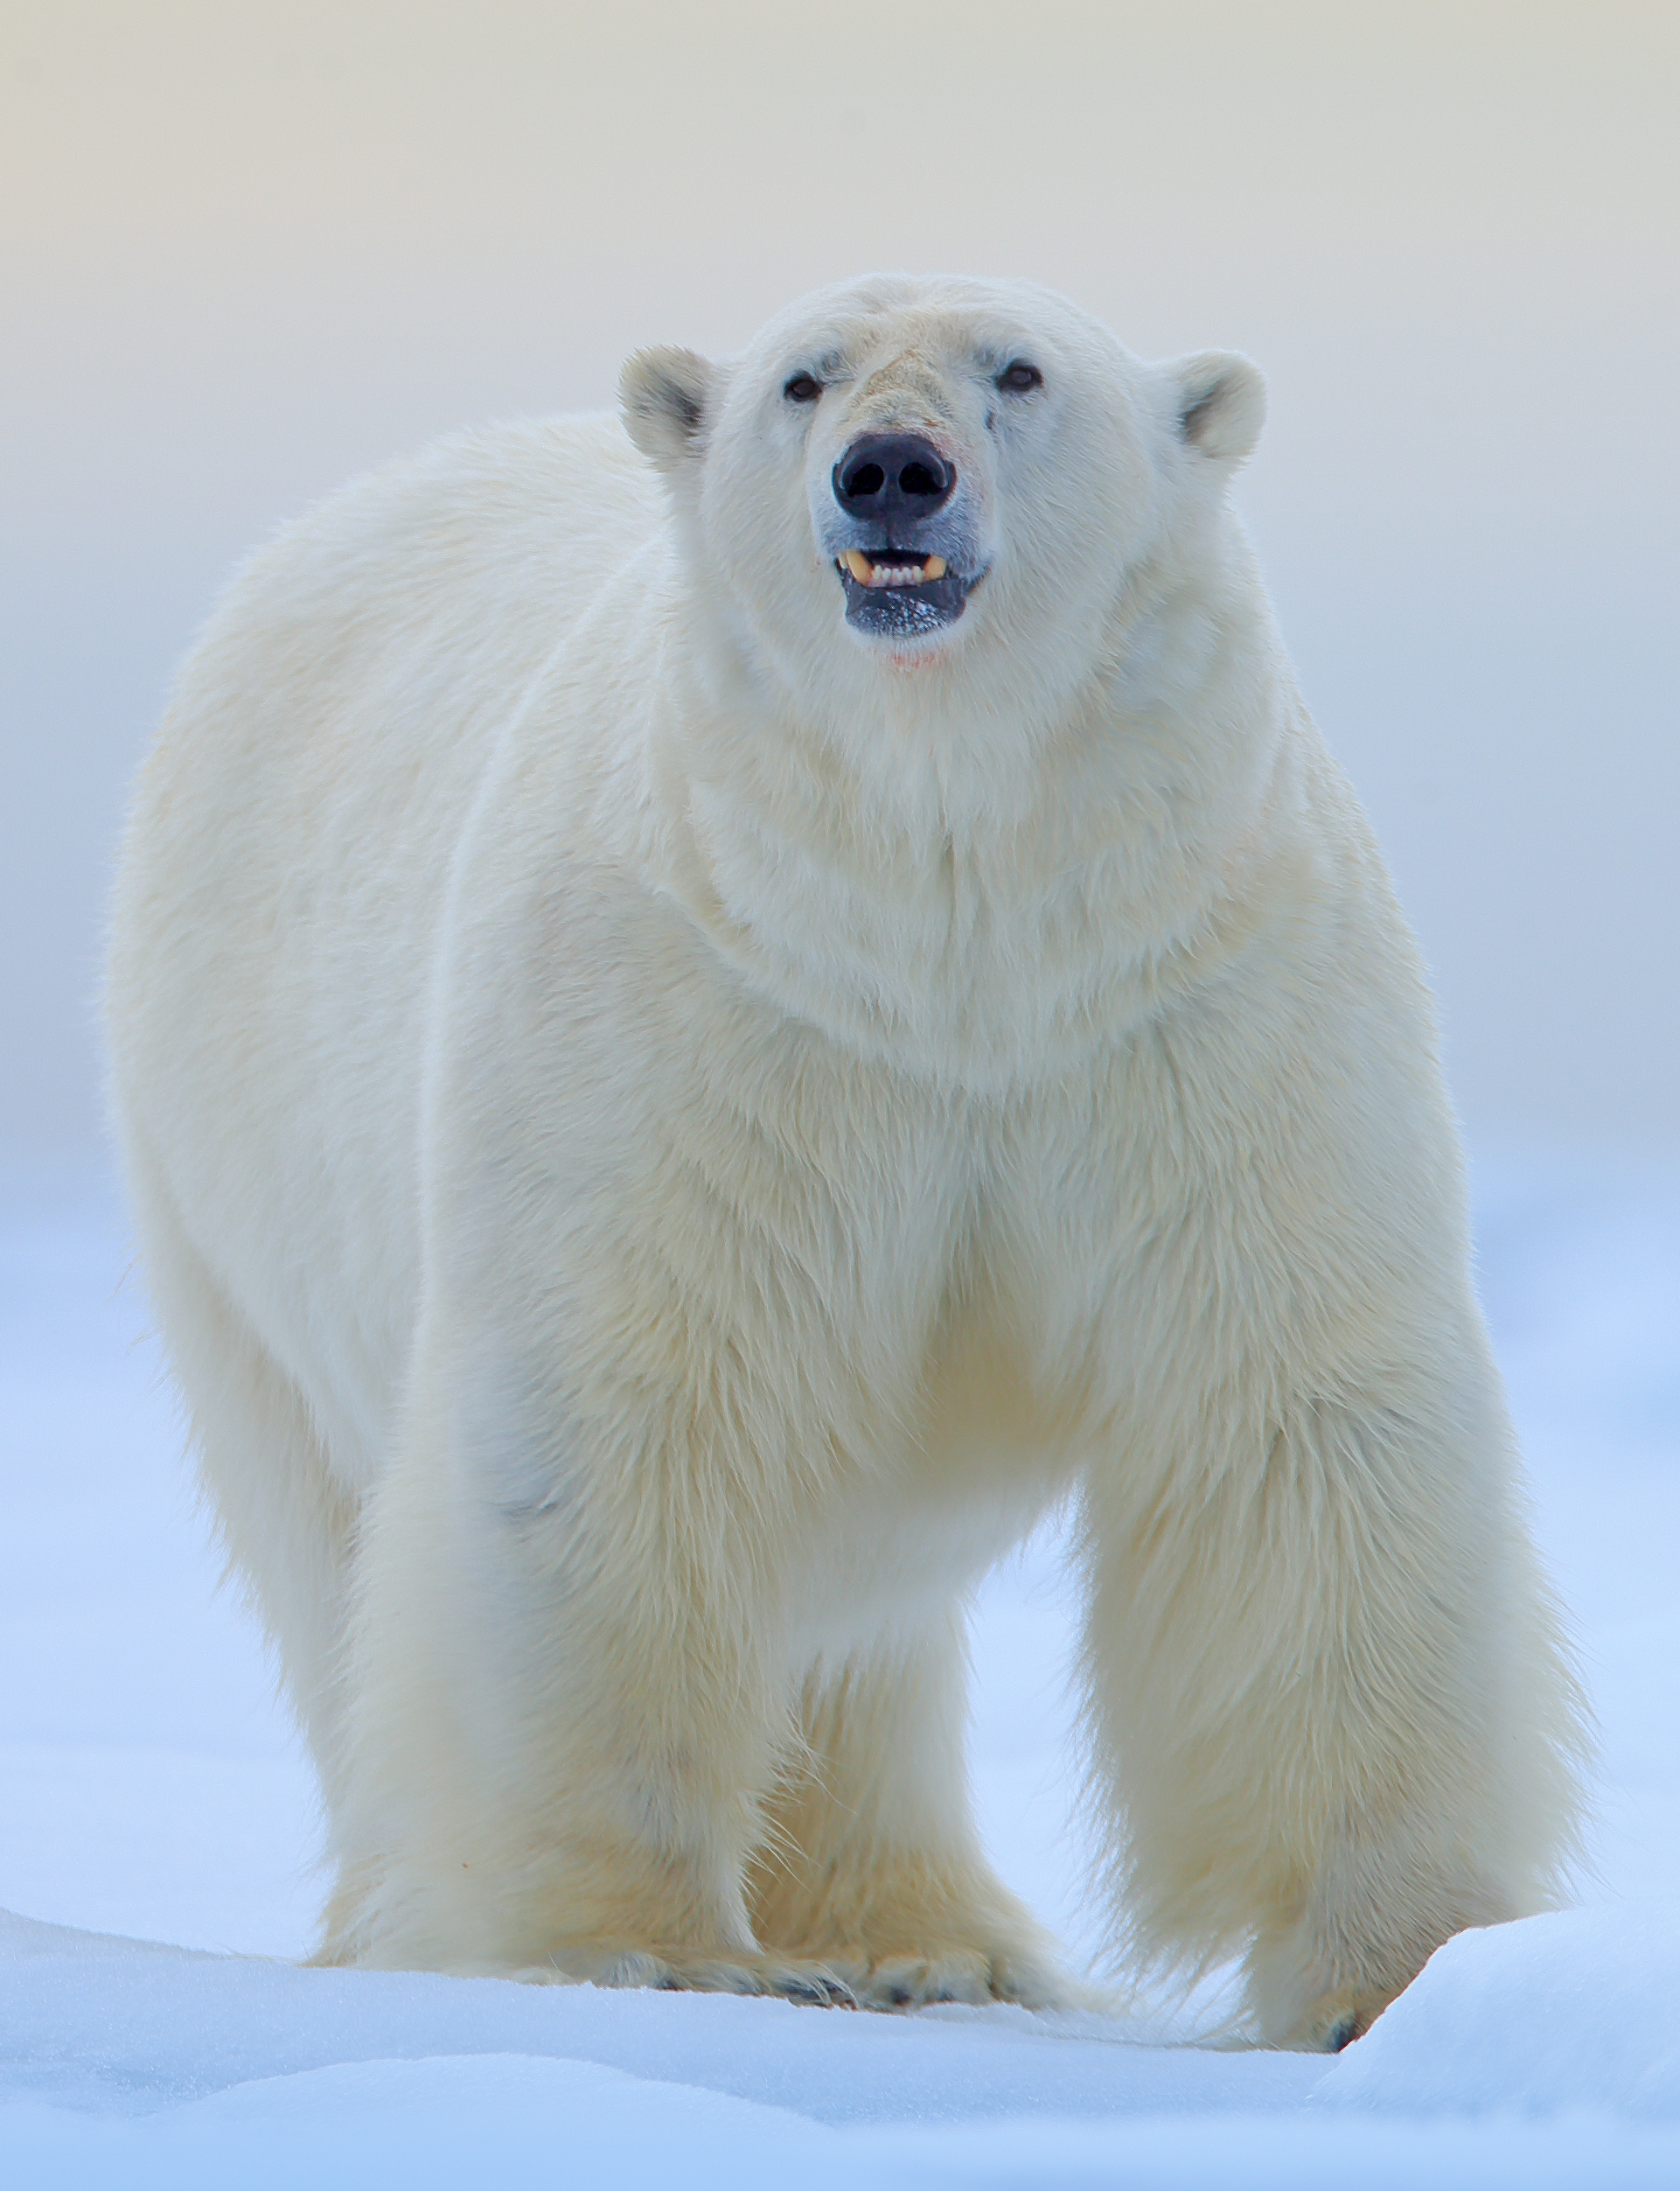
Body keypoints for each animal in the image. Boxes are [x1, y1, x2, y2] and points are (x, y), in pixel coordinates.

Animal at [108, 269, 1594, 2033]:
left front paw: (1404, 1970)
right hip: (227, 1185)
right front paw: (631, 1945)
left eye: (1019, 369)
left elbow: (1289, 1414)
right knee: (336, 1543)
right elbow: (630, 1408)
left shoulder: (1190, 993)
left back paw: (922, 1944)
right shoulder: (705, 1002)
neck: (950, 912)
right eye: (803, 381)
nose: (894, 470)